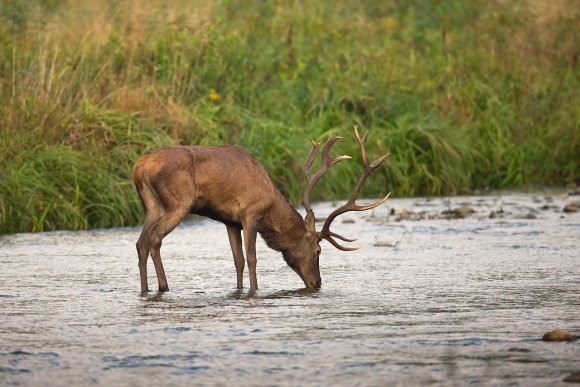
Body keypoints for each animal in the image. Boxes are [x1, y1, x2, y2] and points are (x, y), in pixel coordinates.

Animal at [133, 126, 390, 292]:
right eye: (318, 251)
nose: (317, 283)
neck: (271, 205)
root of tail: (140, 166)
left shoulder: (230, 221)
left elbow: (237, 259)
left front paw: (238, 290)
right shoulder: (250, 213)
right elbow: (252, 258)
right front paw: (255, 291)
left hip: (151, 206)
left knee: (140, 242)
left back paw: (146, 290)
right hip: (179, 203)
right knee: (154, 239)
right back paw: (164, 287)